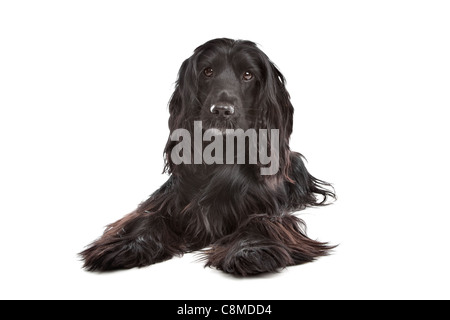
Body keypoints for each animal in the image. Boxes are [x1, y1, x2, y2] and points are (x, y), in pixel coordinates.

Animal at [80, 38, 334, 276]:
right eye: (207, 71)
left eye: (248, 75)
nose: (221, 111)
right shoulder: (170, 200)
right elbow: (149, 216)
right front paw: (127, 245)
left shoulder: (267, 208)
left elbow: (259, 222)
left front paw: (251, 250)